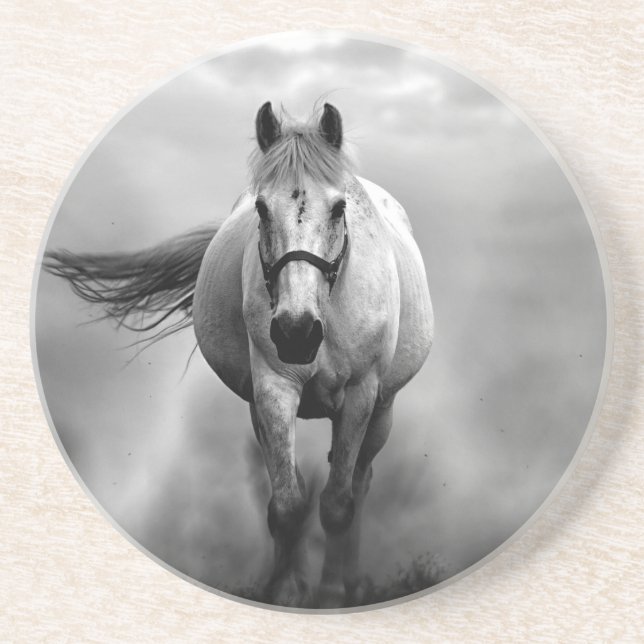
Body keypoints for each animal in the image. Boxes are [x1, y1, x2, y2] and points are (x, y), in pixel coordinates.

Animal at [43, 101, 434, 608]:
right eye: (262, 208)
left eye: (339, 207)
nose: (296, 332)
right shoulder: (272, 388)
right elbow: (287, 505)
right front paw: (286, 593)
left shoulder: (360, 395)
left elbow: (337, 504)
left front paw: (330, 595)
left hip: (382, 410)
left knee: (359, 484)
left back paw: (349, 583)